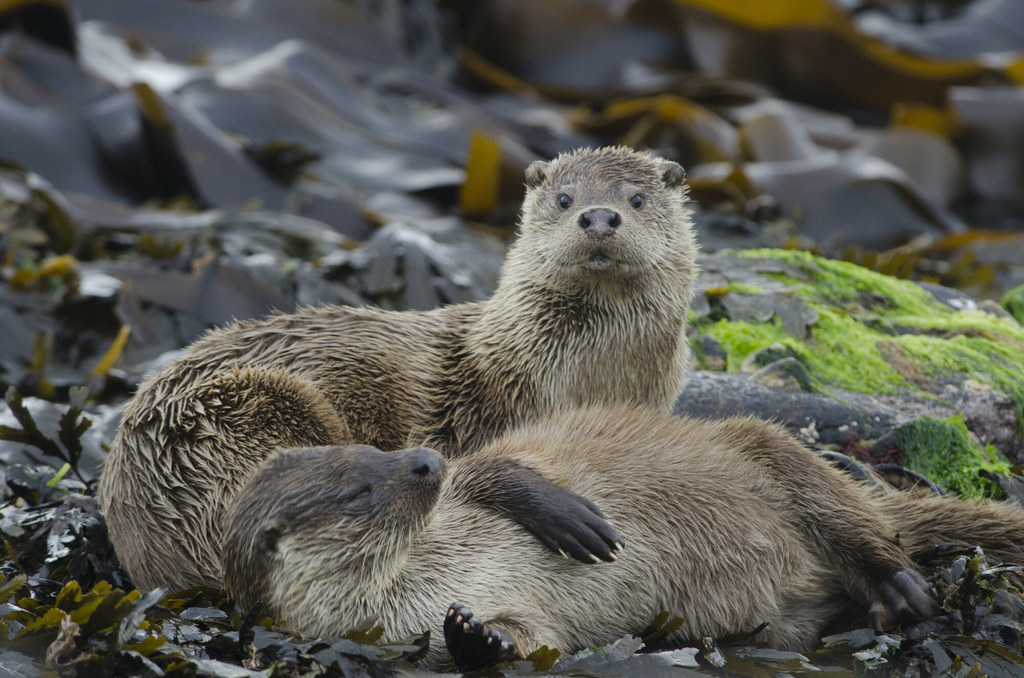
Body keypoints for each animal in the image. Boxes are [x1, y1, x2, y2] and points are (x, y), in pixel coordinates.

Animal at [99, 146, 700, 594]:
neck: (586, 381)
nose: (599, 217)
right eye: (564, 197)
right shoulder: (476, 416)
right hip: (243, 414)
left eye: (638, 199)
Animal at [220, 405, 1024, 671]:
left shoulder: (471, 484)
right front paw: (477, 635)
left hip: (769, 448)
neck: (435, 571)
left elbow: (498, 469)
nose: (424, 461)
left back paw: (898, 585)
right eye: (360, 487)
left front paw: (571, 518)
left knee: (860, 523)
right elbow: (531, 636)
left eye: (377, 451)